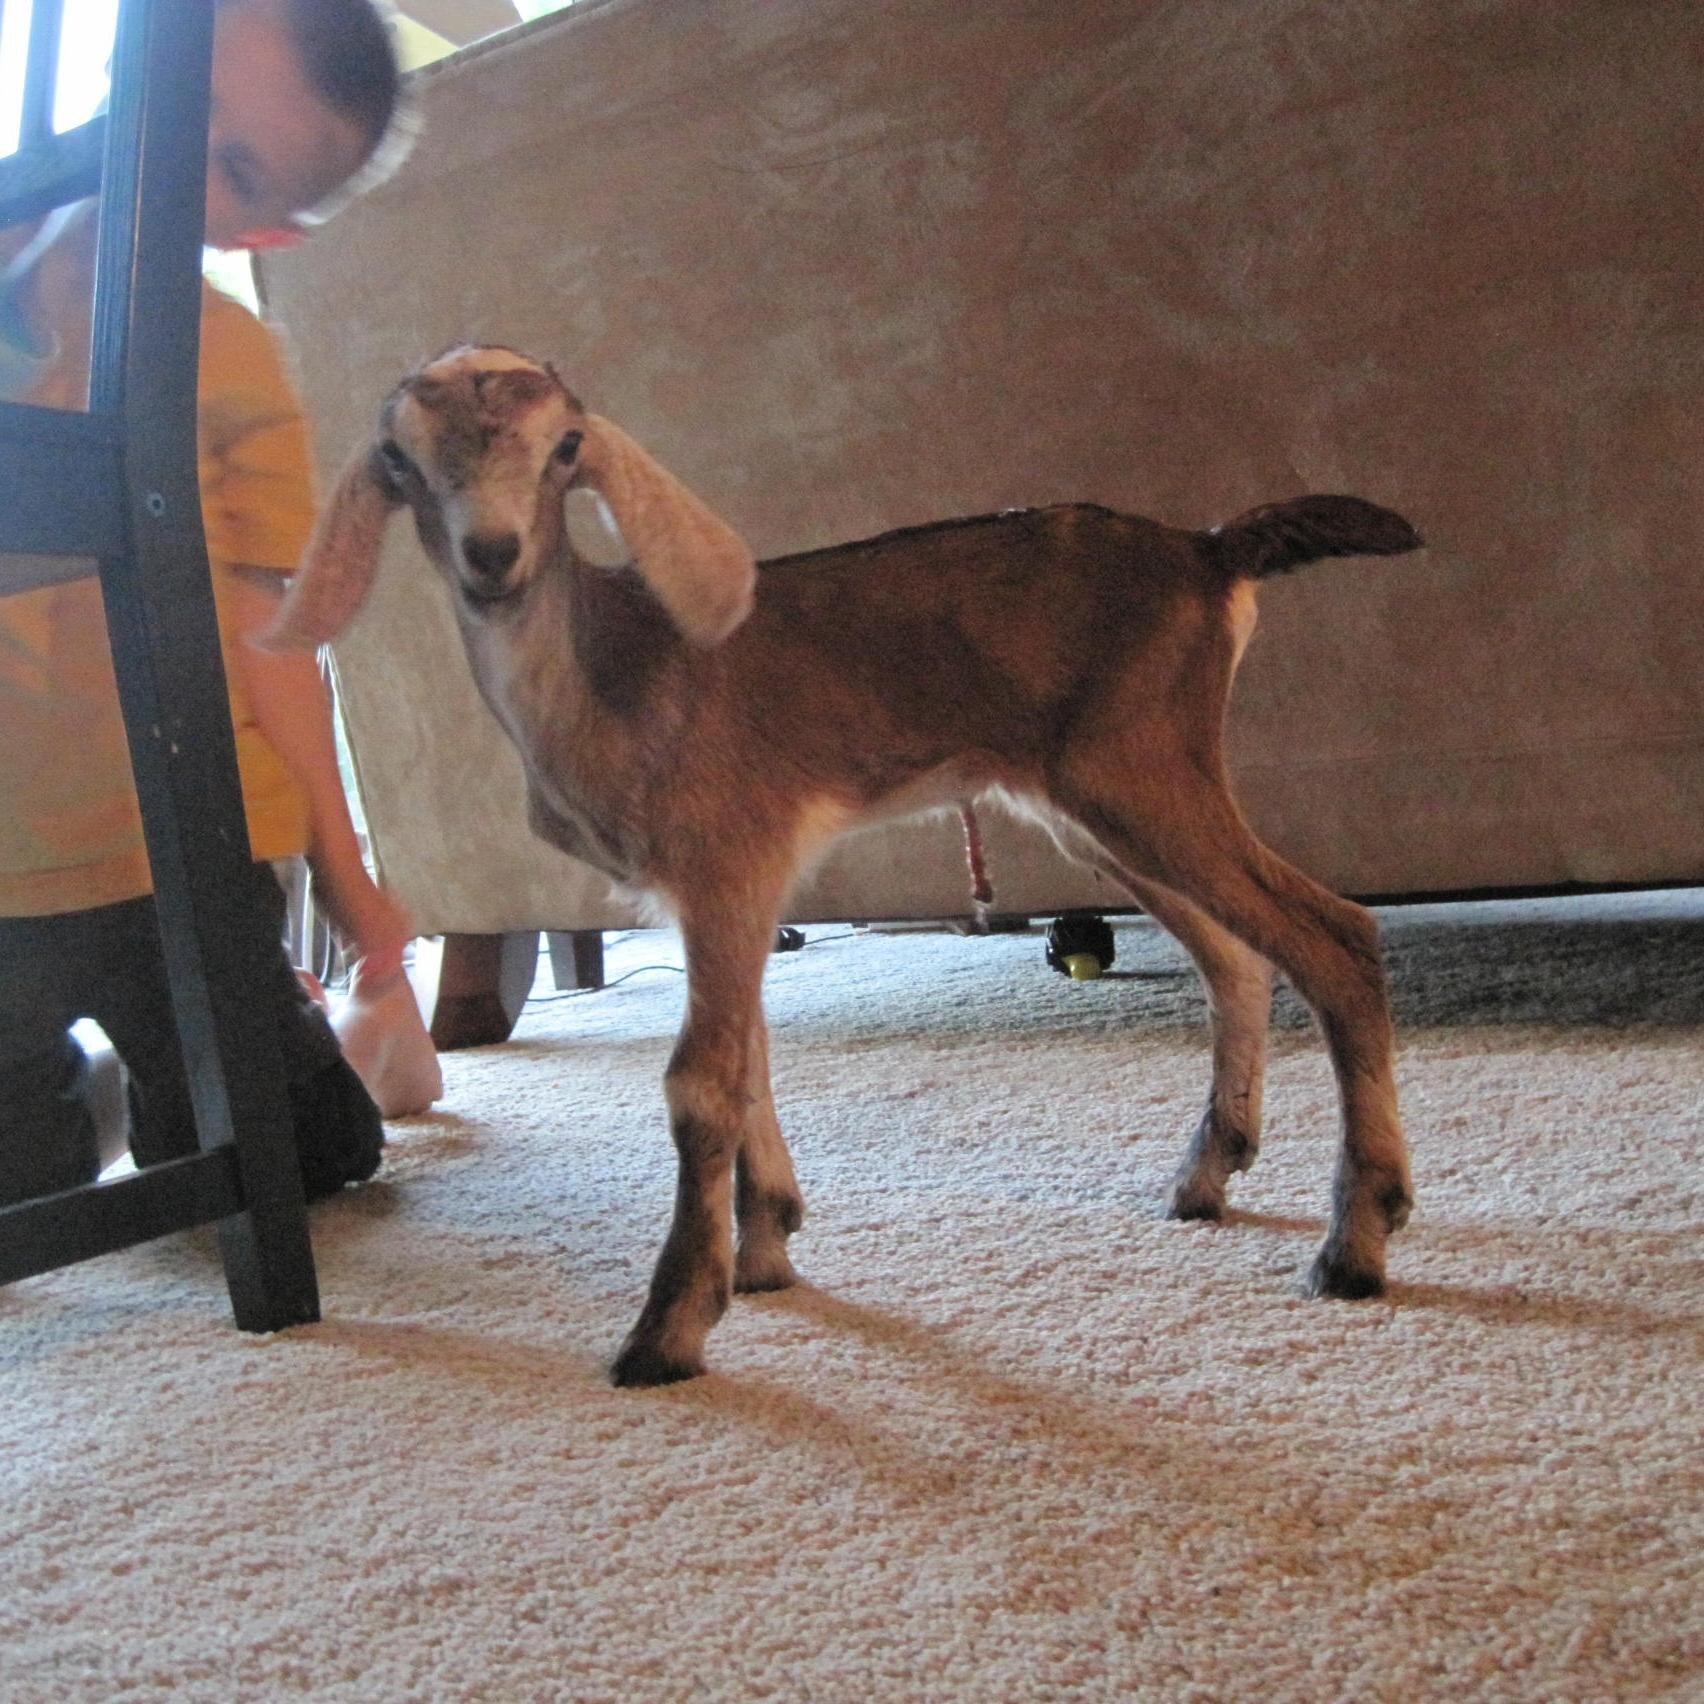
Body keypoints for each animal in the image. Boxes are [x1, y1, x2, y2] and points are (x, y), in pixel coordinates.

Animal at [266, 345, 1423, 1387]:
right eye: (402, 457)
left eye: (563, 446)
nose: (493, 555)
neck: (617, 676)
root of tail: (1211, 552)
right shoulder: (721, 896)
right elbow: (752, 1056)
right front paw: (768, 1247)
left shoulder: (726, 862)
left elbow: (702, 1080)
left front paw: (670, 1326)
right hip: (1101, 809)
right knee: (1238, 960)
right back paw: (1206, 1179)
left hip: (1143, 775)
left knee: (1334, 936)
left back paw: (1356, 1244)